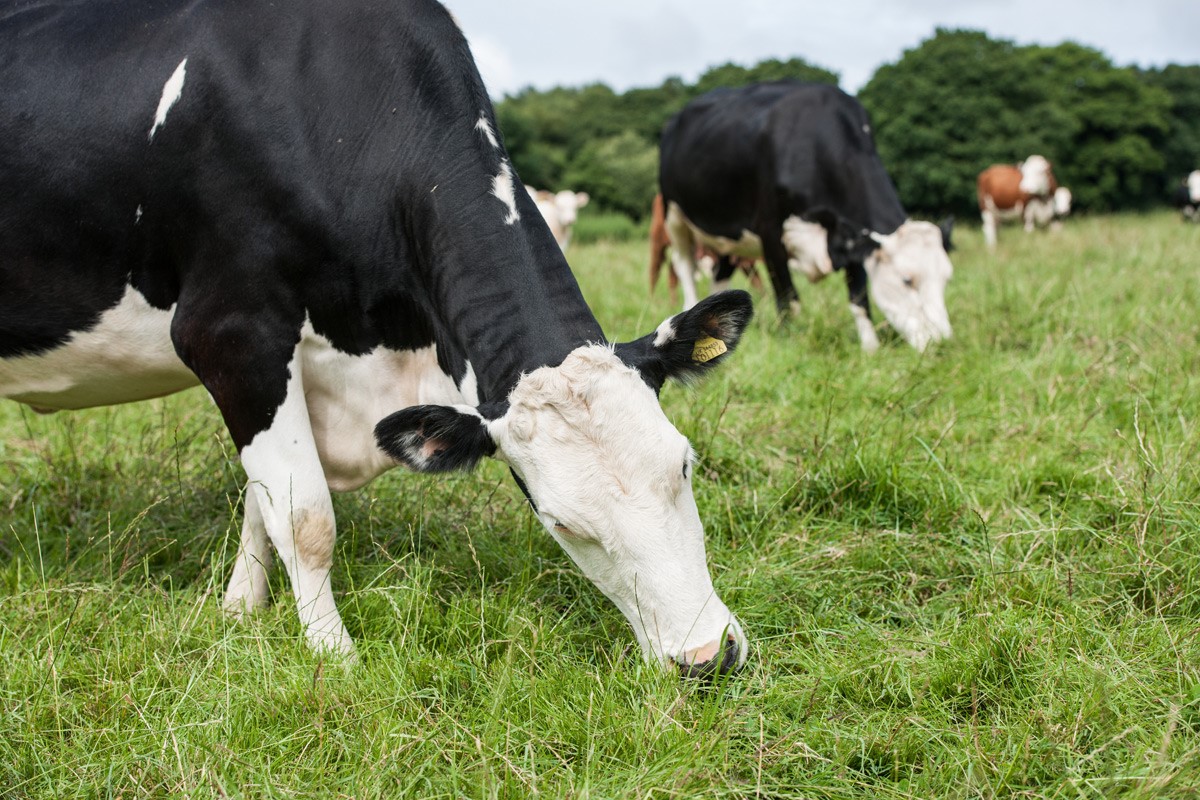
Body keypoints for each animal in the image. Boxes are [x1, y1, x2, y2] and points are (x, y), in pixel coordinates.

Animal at [2, 0, 748, 681]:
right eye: (562, 523)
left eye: (684, 465)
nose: (706, 656)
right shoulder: (230, 334)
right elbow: (303, 515)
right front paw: (333, 655)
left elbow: (260, 500)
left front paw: (241, 609)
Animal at [657, 82, 955, 352]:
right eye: (907, 280)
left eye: (947, 278)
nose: (941, 342)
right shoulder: (770, 233)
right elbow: (789, 299)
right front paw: (790, 343)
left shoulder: (851, 235)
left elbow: (859, 297)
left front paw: (870, 349)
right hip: (674, 217)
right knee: (684, 266)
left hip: (728, 235)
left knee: (720, 275)